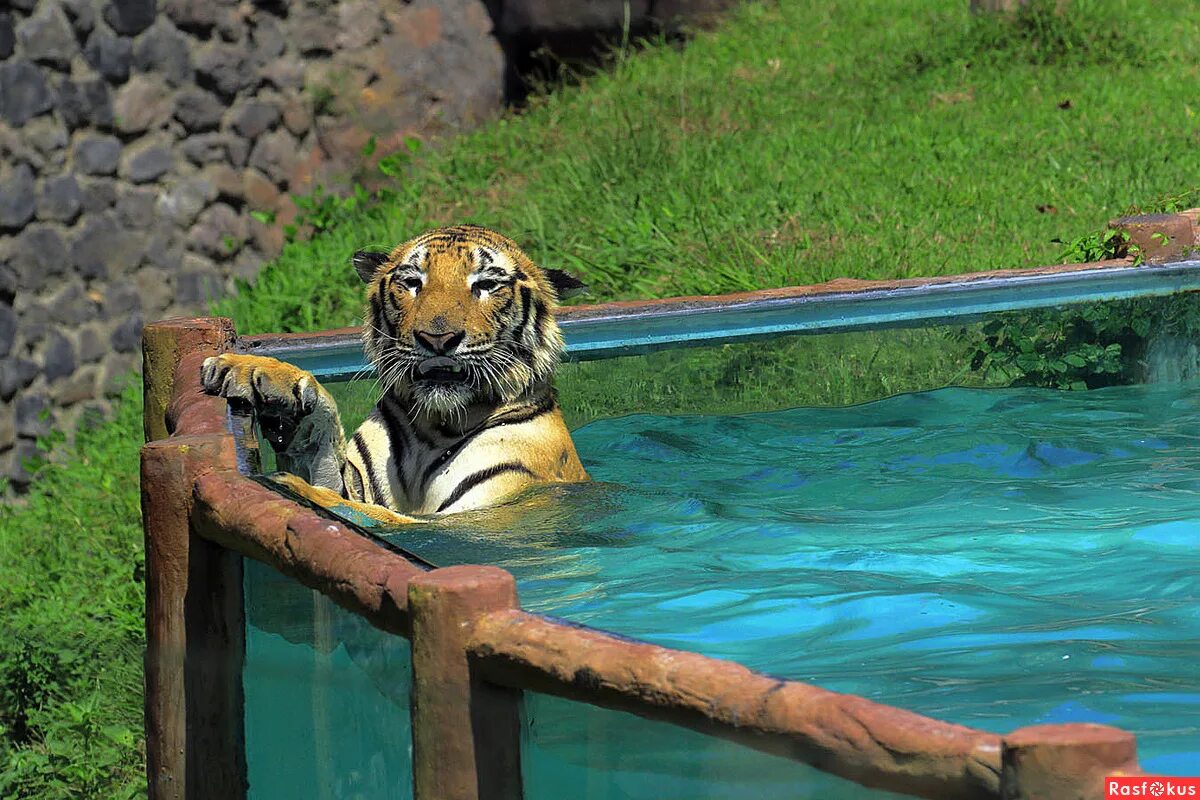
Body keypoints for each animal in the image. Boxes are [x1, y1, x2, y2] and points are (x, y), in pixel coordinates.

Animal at [204, 225, 592, 525]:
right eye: (412, 282)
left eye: (484, 285)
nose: (438, 338)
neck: (435, 428)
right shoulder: (356, 479)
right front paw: (261, 377)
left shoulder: (483, 510)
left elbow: (376, 516)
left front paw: (289, 484)